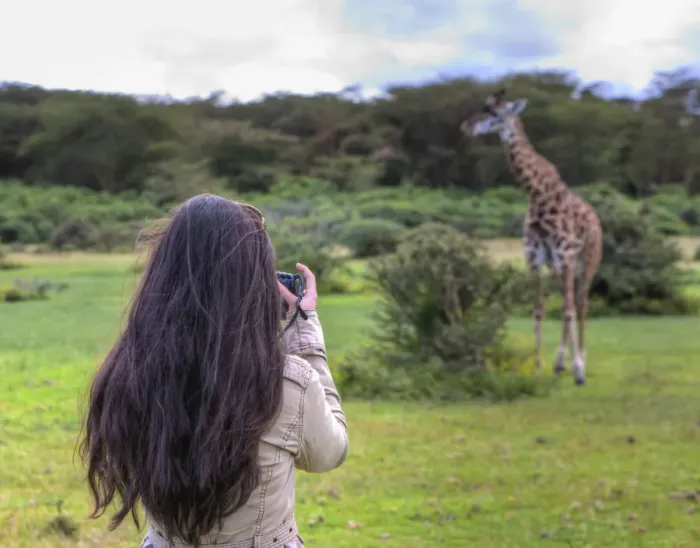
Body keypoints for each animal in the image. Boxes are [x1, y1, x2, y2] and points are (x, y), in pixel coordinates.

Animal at [459, 88, 603, 386]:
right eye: (482, 106)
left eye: (493, 111)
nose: (465, 127)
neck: (536, 195)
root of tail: (596, 218)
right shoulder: (534, 258)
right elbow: (539, 309)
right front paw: (538, 366)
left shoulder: (565, 254)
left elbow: (569, 310)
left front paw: (578, 370)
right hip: (558, 268)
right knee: (568, 303)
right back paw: (561, 365)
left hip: (587, 261)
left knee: (580, 304)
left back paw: (579, 363)